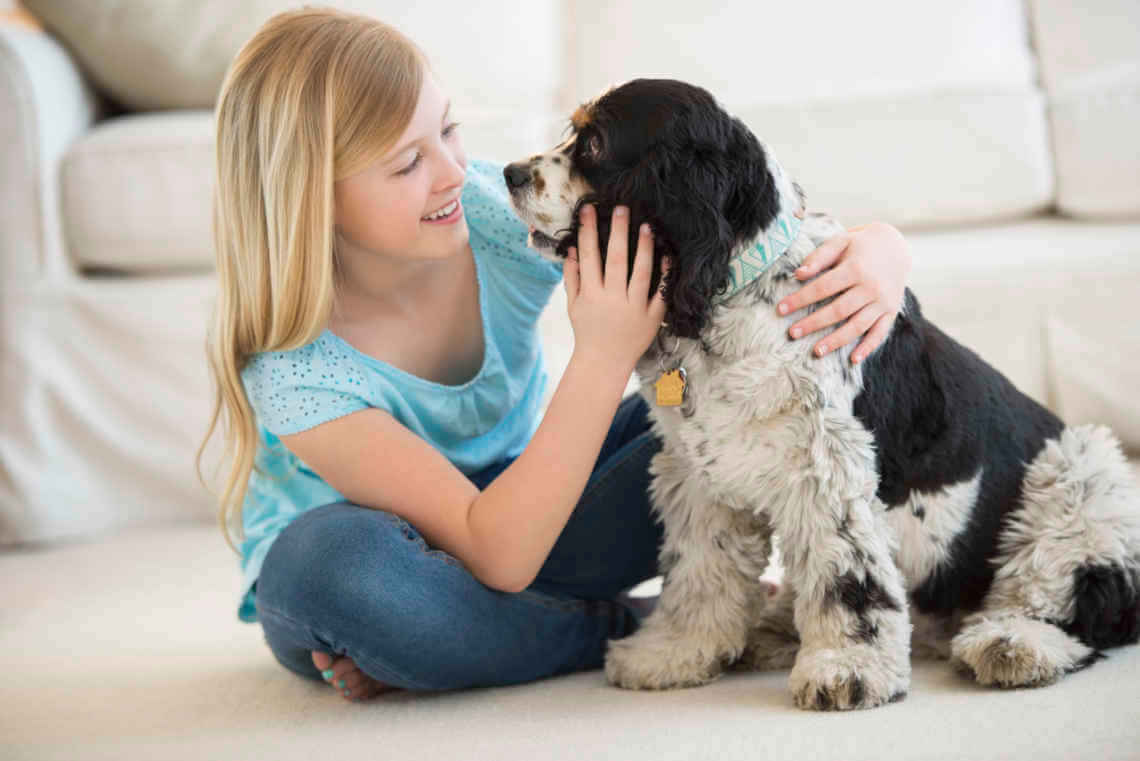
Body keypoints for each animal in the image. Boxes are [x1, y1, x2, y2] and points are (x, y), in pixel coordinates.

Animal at [506, 80, 1140, 710]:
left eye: (595, 144)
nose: (511, 172)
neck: (735, 290)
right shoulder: (699, 476)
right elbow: (699, 573)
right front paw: (672, 653)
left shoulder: (827, 470)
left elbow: (848, 580)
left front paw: (848, 670)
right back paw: (774, 629)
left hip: (1080, 474)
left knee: (1077, 605)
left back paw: (1012, 645)